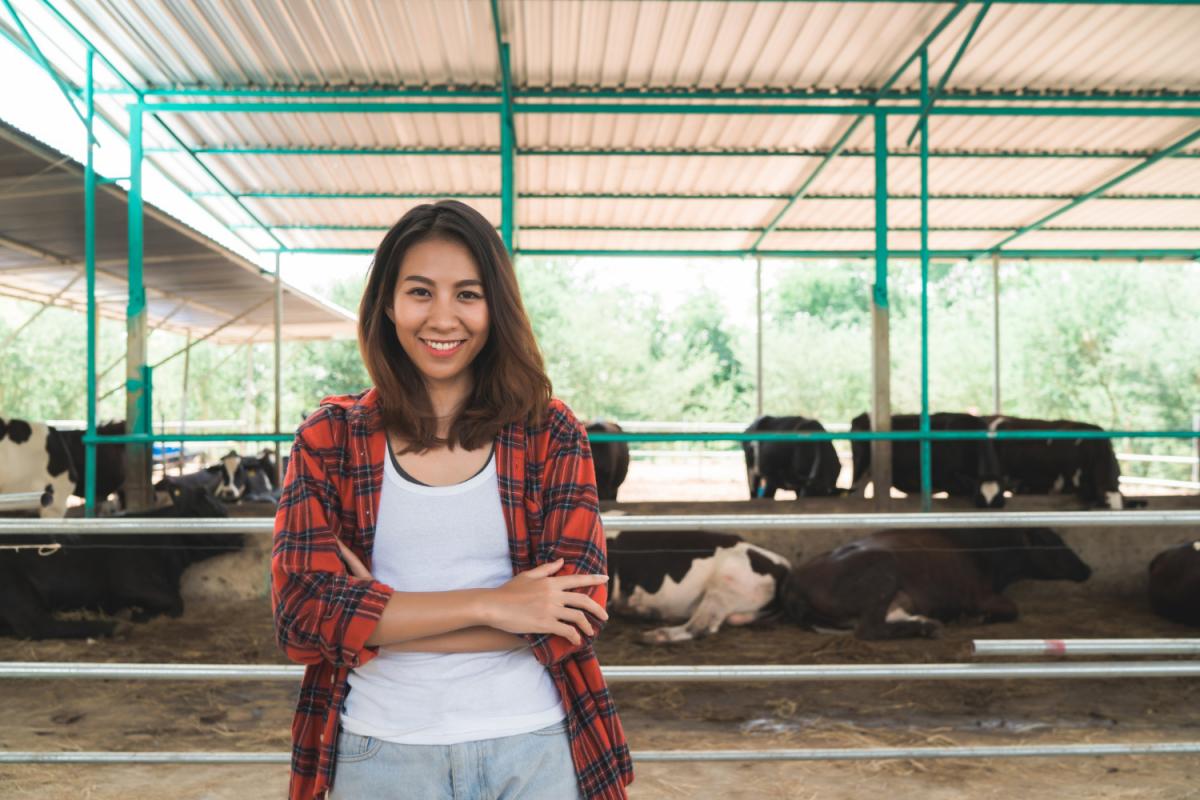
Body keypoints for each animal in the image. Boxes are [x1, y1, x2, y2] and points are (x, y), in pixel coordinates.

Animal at [0, 479, 241, 642]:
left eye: (224, 509)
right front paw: (136, 613)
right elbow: (176, 602)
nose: (240, 536)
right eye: (212, 511)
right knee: (35, 625)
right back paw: (115, 626)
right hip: (14, 587)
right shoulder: (130, 582)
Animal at [782, 527, 1094, 642]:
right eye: (1055, 543)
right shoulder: (980, 595)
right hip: (884, 572)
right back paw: (927, 626)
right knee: (869, 629)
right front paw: (976, 619)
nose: (1087, 568)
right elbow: (1011, 609)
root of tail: (797, 581)